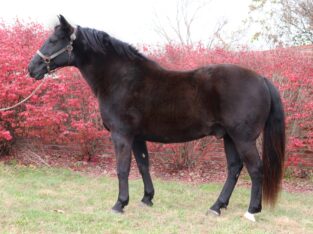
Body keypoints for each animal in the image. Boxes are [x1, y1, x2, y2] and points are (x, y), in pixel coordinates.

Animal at [28, 16, 284, 221]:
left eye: (53, 40)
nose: (32, 68)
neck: (121, 79)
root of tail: (261, 79)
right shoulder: (138, 137)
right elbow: (143, 165)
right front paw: (147, 199)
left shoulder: (122, 135)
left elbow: (122, 168)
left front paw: (119, 204)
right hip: (229, 137)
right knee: (234, 168)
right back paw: (216, 207)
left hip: (243, 138)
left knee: (255, 169)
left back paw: (251, 211)